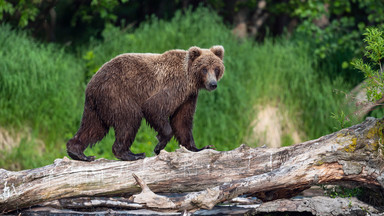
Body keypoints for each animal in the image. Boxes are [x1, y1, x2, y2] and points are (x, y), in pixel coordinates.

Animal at [66, 45, 225, 160]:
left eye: (216, 68)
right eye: (204, 69)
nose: (213, 84)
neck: (190, 80)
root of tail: (90, 84)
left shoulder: (188, 97)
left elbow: (182, 122)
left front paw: (201, 147)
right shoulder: (173, 86)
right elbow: (154, 107)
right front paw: (159, 145)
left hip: (98, 107)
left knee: (93, 128)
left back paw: (78, 153)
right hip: (117, 93)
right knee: (129, 119)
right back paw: (131, 154)